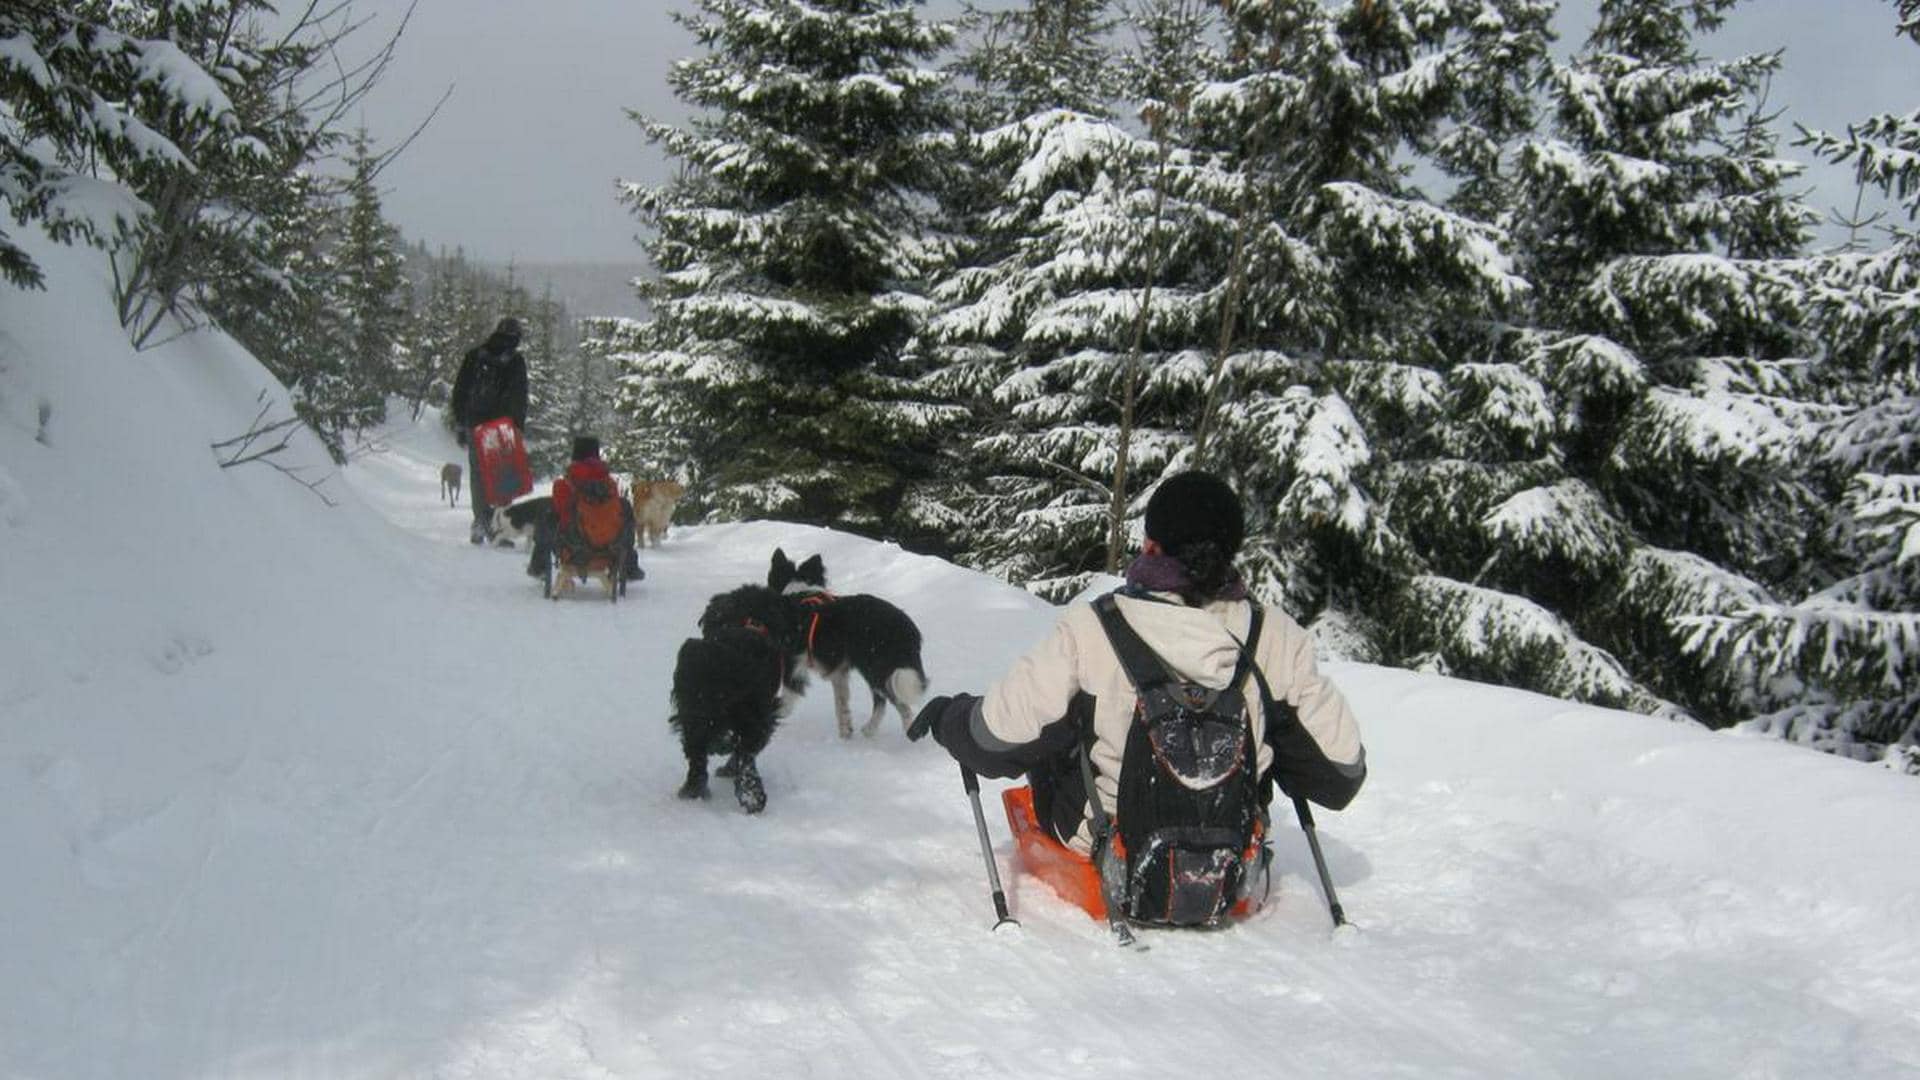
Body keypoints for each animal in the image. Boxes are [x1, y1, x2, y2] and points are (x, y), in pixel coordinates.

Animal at [672, 580, 806, 807]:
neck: (751, 621)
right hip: (753, 715)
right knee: (744, 755)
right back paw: (751, 795)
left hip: (693, 710)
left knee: (698, 752)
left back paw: (695, 790)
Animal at [764, 549, 929, 734]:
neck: (799, 592)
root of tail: (908, 628)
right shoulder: (839, 672)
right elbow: (841, 705)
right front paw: (846, 732)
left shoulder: (792, 663)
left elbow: (786, 699)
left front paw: (774, 716)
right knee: (883, 701)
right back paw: (869, 730)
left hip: (876, 668)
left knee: (901, 706)